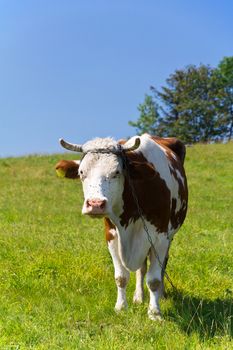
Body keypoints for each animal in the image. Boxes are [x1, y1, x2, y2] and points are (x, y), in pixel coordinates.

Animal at [56, 133, 187, 320]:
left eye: (116, 172)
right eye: (82, 172)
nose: (95, 204)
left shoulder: (161, 237)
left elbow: (154, 279)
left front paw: (154, 312)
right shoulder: (112, 236)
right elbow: (121, 276)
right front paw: (121, 307)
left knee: (161, 265)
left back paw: (160, 295)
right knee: (141, 268)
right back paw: (139, 297)